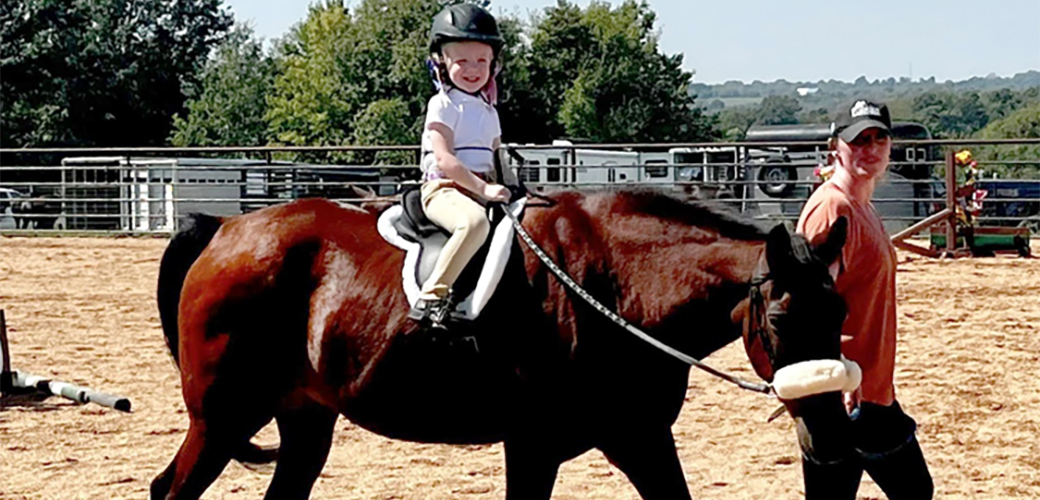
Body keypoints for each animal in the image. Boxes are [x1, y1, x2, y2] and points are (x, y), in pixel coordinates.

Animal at [150, 188, 844, 498]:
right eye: (781, 320)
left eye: (840, 311)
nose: (831, 430)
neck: (615, 289)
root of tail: (226, 229)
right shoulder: (533, 447)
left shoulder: (639, 438)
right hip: (222, 419)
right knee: (171, 489)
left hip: (304, 419)